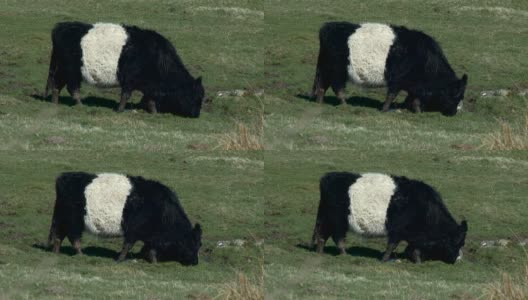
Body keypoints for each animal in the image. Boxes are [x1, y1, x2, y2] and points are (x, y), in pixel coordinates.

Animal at [43, 21, 204, 118]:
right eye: (196, 96)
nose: (196, 114)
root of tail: (62, 26)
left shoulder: (149, 86)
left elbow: (151, 99)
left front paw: (154, 113)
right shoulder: (130, 80)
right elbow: (126, 95)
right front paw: (119, 110)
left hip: (64, 71)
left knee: (57, 85)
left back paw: (55, 103)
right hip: (71, 71)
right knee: (71, 88)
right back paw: (80, 105)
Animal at [49, 171, 202, 264]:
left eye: (199, 245)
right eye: (191, 243)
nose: (195, 262)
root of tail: (65, 177)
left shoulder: (150, 236)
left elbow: (151, 249)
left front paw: (154, 262)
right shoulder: (133, 231)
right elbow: (127, 246)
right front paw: (119, 260)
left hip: (63, 220)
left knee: (58, 236)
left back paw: (56, 253)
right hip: (73, 221)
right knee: (73, 238)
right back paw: (81, 255)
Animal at [312, 22, 468, 116]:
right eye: (456, 95)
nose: (454, 112)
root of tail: (329, 26)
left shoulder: (414, 86)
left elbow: (415, 99)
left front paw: (417, 112)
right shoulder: (397, 81)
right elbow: (391, 95)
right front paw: (385, 109)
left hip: (327, 70)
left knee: (322, 86)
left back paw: (320, 103)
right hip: (337, 71)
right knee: (337, 87)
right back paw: (345, 105)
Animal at [312, 172, 468, 264]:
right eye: (459, 242)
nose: (458, 259)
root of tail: (328, 177)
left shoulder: (414, 235)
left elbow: (415, 248)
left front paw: (417, 262)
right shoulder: (397, 231)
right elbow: (392, 245)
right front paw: (385, 259)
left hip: (327, 218)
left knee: (322, 234)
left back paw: (320, 253)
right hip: (338, 221)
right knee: (337, 237)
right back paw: (344, 254)